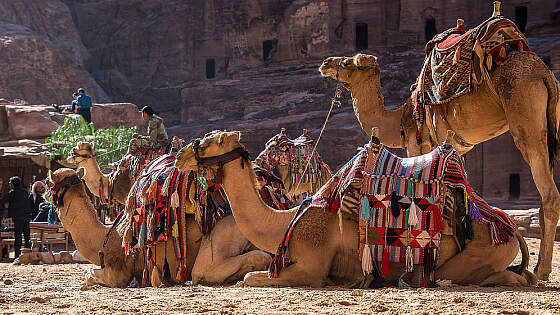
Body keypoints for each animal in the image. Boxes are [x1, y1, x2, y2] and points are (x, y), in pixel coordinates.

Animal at [43, 169, 272, 288]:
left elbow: (89, 274)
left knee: (205, 270)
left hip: (225, 233)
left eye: (47, 181)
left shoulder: (117, 272)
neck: (103, 237)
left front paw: (86, 283)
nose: (43, 193)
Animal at [175, 131, 540, 288]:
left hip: (482, 248)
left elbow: (249, 278)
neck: (284, 222)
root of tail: (507, 226)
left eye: (209, 141)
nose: (180, 154)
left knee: (484, 275)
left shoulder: (313, 264)